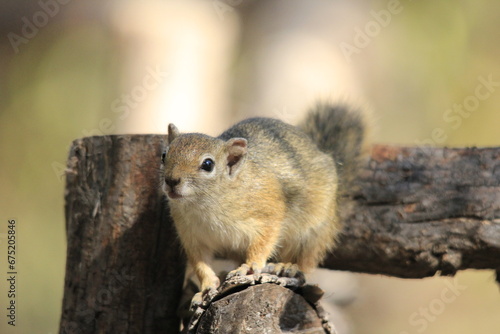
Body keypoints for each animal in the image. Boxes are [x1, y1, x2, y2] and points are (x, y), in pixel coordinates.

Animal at [160, 103, 368, 298]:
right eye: (164, 155)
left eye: (208, 164)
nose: (171, 181)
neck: (204, 204)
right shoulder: (192, 236)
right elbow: (200, 263)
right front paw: (206, 286)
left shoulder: (269, 211)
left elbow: (263, 242)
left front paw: (250, 266)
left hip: (313, 233)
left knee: (306, 261)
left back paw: (288, 266)